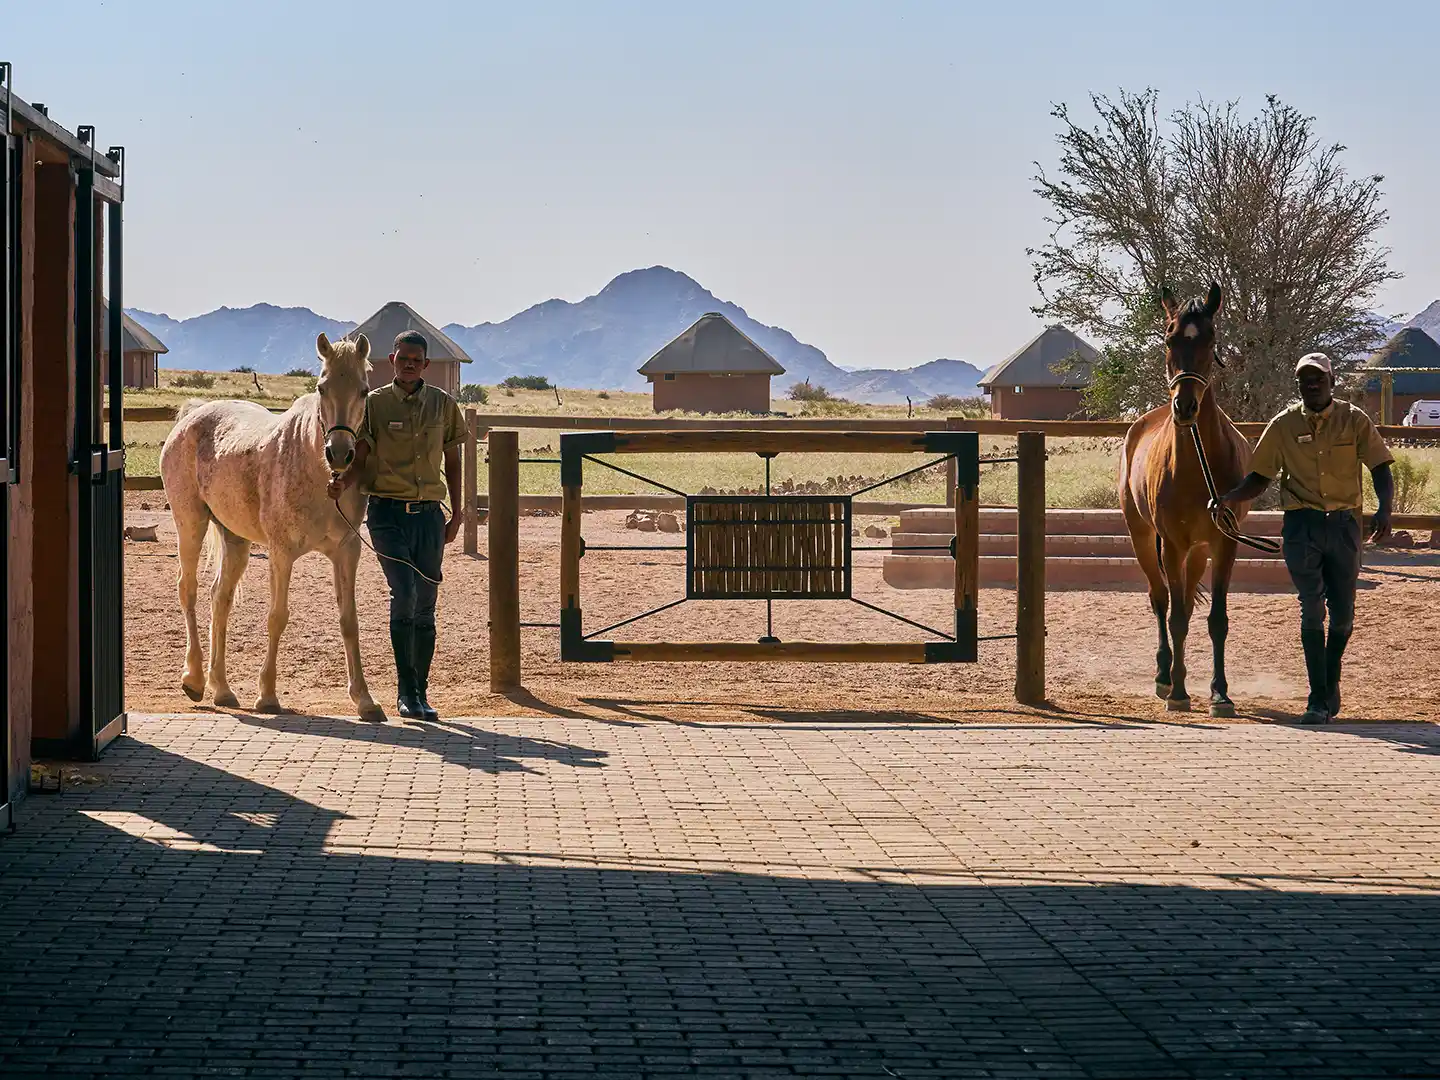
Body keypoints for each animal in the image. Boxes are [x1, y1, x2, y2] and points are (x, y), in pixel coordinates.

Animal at [159, 332, 384, 722]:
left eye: (363, 390)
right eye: (322, 387)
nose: (339, 453)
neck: (315, 469)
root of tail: (193, 415)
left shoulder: (347, 552)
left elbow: (349, 620)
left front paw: (365, 700)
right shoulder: (281, 554)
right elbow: (277, 617)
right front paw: (267, 695)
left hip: (235, 540)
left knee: (220, 598)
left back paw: (222, 688)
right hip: (190, 524)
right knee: (188, 590)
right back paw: (194, 678)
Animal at [1119, 283, 1251, 716]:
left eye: (1209, 339)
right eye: (1168, 339)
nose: (1186, 406)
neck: (1195, 465)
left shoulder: (1224, 543)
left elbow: (1216, 619)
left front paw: (1220, 693)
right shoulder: (1173, 544)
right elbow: (1175, 617)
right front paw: (1177, 692)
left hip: (1199, 551)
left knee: (1188, 605)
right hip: (1143, 538)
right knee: (1161, 599)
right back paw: (1164, 676)